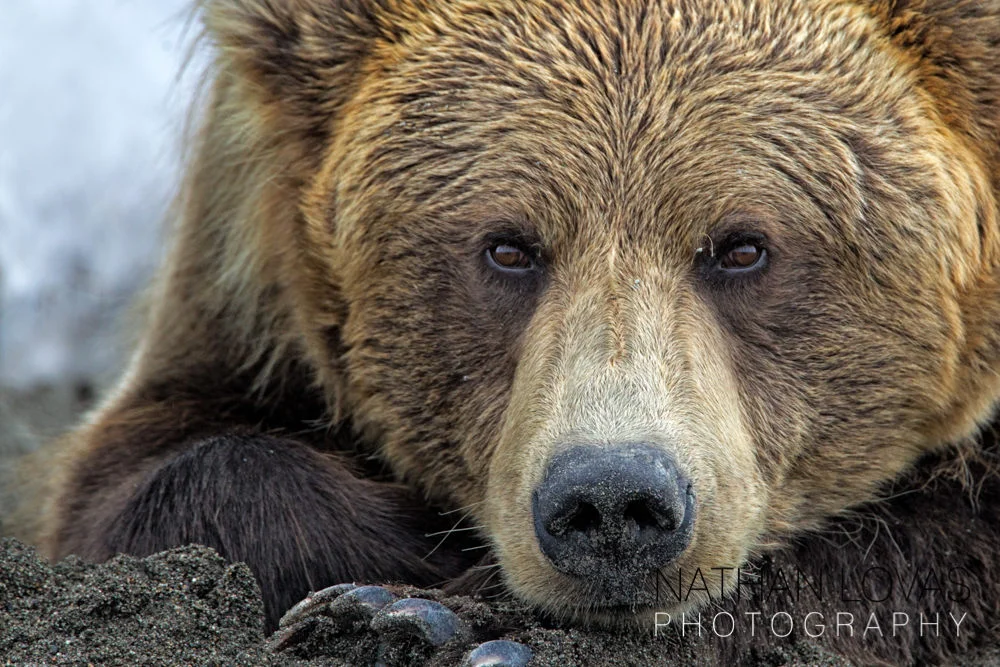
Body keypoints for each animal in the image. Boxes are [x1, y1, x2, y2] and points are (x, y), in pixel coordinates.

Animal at [16, 0, 1000, 664]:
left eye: (743, 245)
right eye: (508, 246)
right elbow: (155, 473)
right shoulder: (241, 272)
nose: (612, 499)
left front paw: (453, 622)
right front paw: (401, 588)